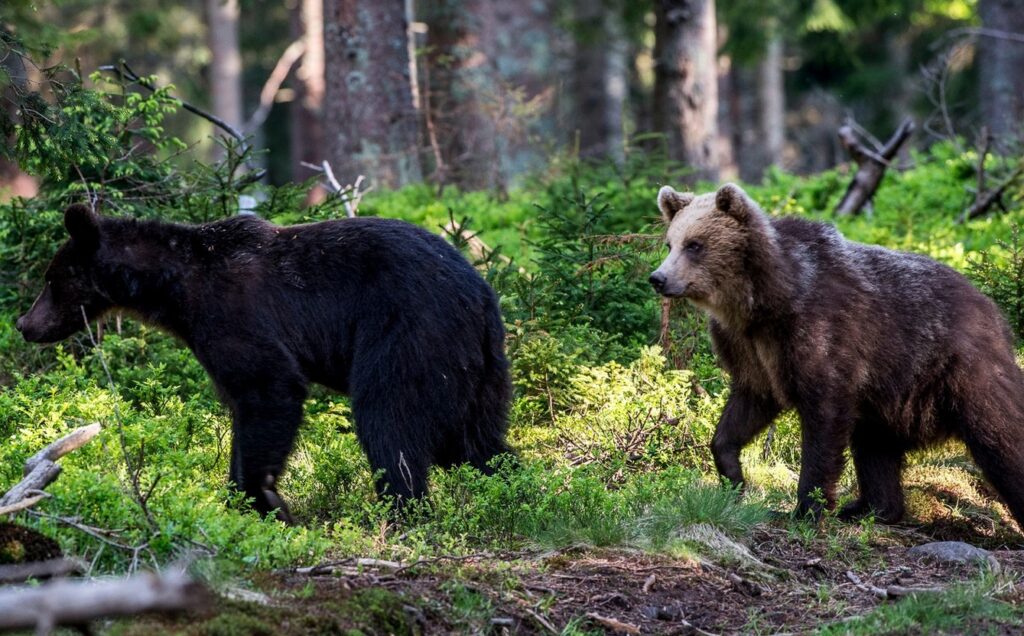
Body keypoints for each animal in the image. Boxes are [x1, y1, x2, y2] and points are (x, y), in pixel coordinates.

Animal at [651, 182, 1024, 524]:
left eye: (695, 245)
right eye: (671, 243)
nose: (658, 277)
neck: (762, 301)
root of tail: (994, 312)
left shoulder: (820, 332)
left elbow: (824, 418)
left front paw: (807, 507)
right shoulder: (750, 349)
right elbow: (748, 405)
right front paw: (733, 477)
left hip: (957, 370)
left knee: (1001, 438)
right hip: (889, 397)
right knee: (875, 447)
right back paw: (868, 508)